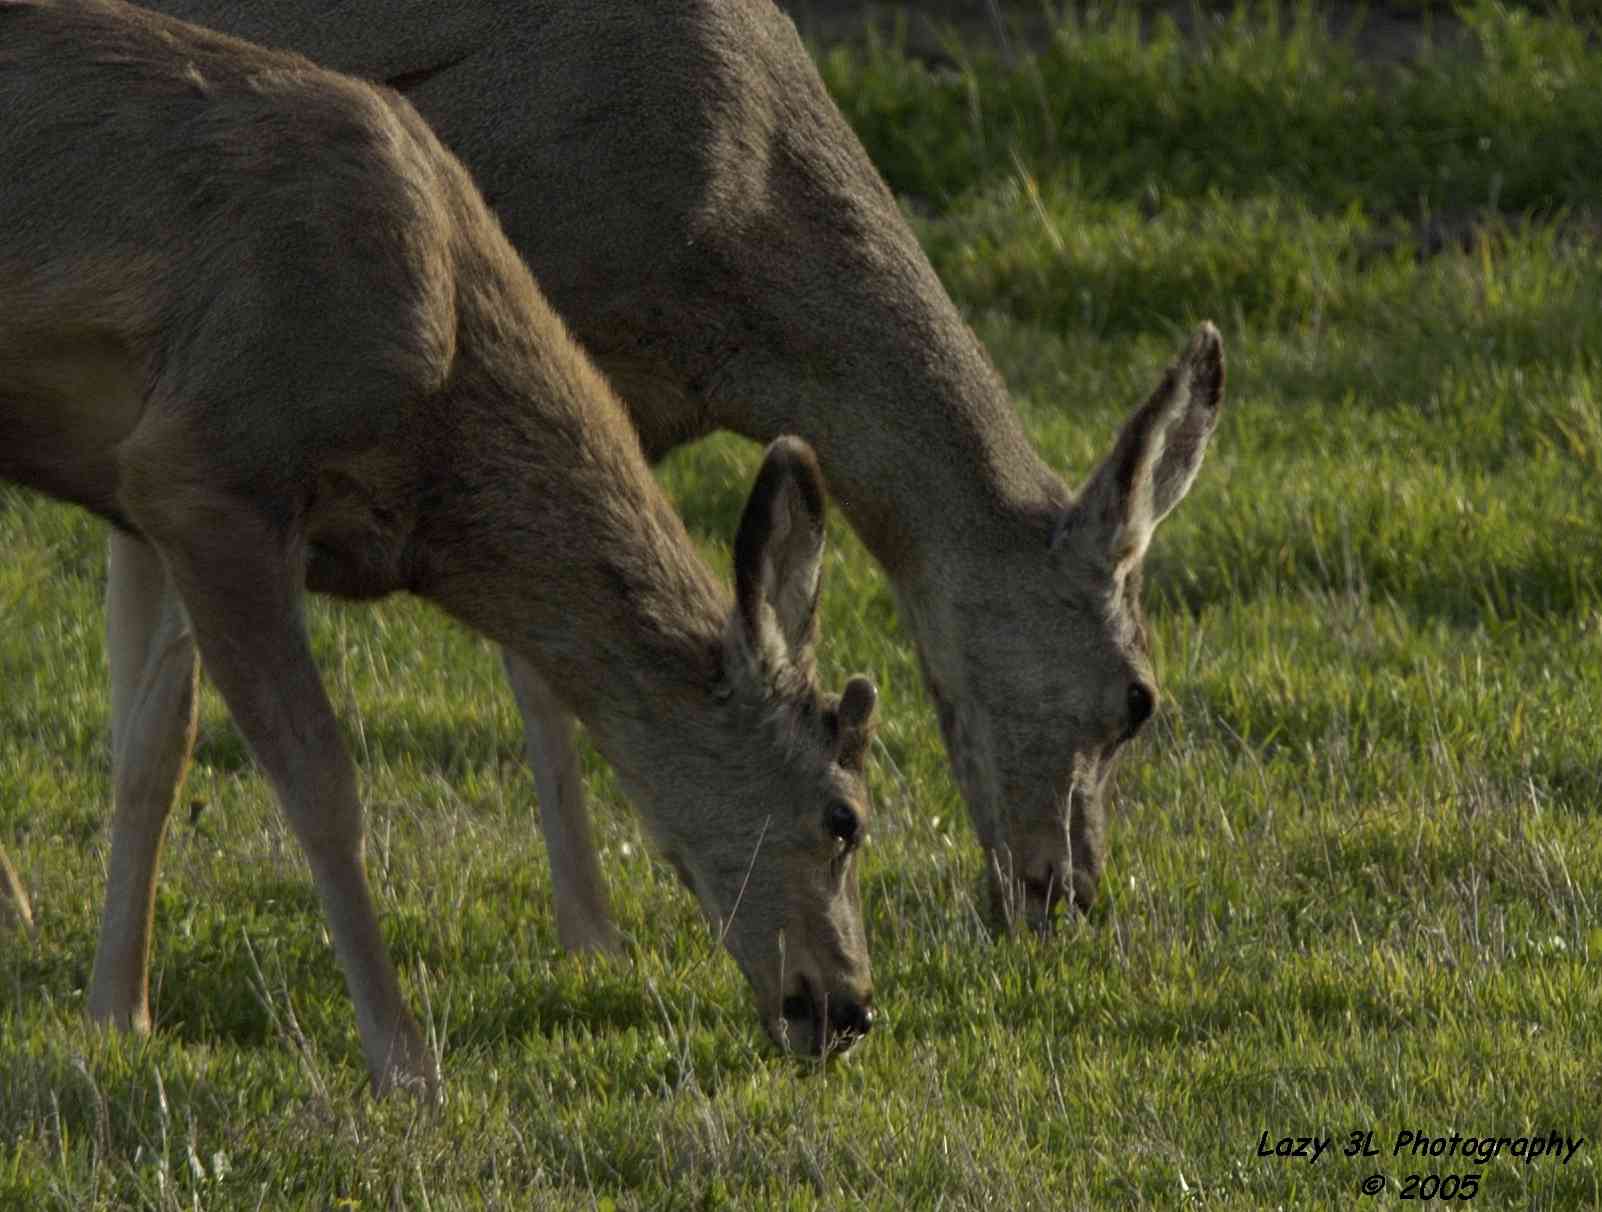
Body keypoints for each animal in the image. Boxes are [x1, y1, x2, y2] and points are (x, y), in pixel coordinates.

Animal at [0, 0, 877, 1095]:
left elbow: (149, 747)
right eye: (844, 816)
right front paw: (404, 1060)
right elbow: (320, 778)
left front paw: (120, 1015)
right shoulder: (204, 461)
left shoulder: (141, 491)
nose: (847, 1006)